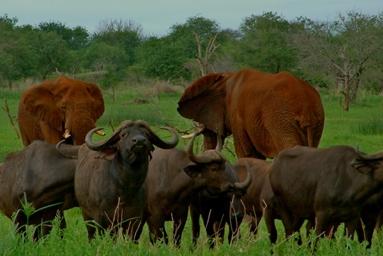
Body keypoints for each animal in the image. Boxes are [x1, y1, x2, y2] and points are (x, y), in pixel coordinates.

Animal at [178, 69, 326, 159]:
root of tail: (306, 107)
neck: (226, 77)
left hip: (281, 122)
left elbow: (246, 155)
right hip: (316, 122)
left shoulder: (237, 115)